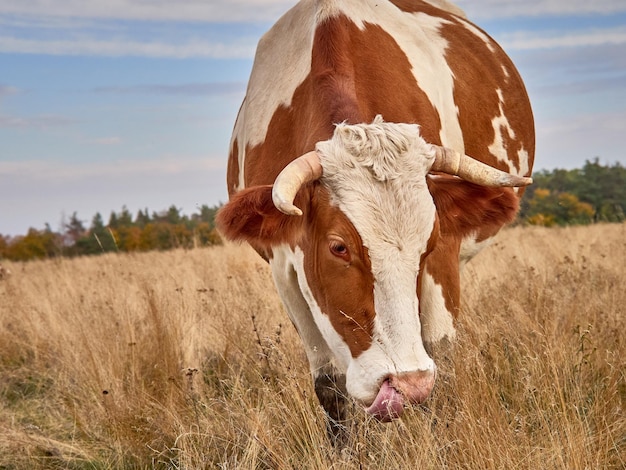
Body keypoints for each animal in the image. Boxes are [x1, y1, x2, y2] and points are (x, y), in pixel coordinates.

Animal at [213, 0, 532, 434]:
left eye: (429, 243)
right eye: (338, 247)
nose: (406, 384)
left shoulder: (445, 258)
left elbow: (440, 355)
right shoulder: (283, 268)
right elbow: (329, 383)